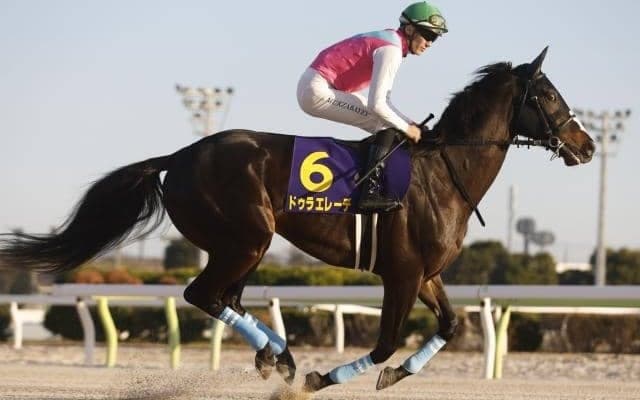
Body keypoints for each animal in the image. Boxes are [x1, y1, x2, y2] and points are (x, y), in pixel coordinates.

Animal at [0, 48, 594, 391]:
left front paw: (394, 374)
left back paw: (276, 353)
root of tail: (180, 155)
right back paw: (281, 357)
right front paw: (321, 376)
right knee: (204, 295)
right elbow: (384, 343)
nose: (587, 144)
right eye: (547, 94)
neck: (443, 172)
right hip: (247, 238)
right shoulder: (401, 273)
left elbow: (449, 325)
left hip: (241, 245)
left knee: (226, 298)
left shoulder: (426, 274)